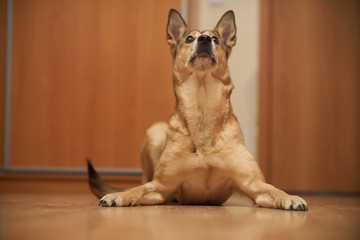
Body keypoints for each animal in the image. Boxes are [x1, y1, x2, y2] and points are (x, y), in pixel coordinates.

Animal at [86, 9, 306, 211]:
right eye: (189, 38)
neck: (202, 108)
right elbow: (139, 189)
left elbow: (274, 189)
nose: (205, 39)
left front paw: (290, 197)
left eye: (215, 39)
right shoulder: (161, 187)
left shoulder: (253, 183)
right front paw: (119, 195)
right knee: (143, 182)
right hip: (155, 132)